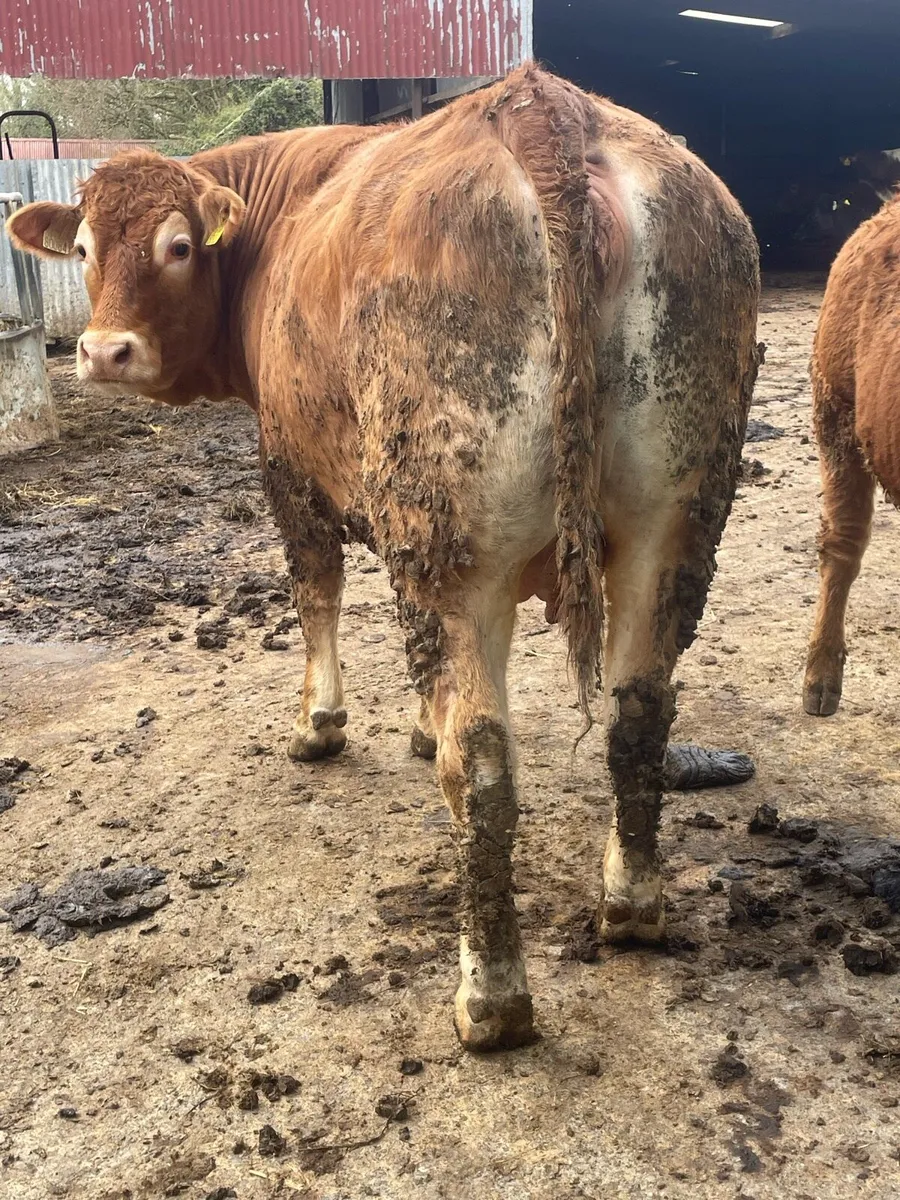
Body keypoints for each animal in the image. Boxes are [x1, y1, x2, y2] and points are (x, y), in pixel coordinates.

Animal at [8, 65, 761, 1051]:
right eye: (87, 247)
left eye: (177, 246)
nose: (102, 351)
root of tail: (544, 110)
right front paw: (416, 724)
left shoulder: (287, 464)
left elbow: (315, 593)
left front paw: (319, 724)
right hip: (672, 520)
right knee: (636, 717)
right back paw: (630, 905)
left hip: (448, 532)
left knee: (483, 764)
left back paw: (490, 997)